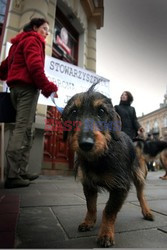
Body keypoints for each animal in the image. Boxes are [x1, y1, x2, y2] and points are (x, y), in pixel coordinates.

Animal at [61, 83, 154, 247]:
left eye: (101, 111)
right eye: (73, 111)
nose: (86, 144)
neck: (101, 157)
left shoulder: (120, 187)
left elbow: (109, 211)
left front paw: (105, 234)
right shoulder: (88, 185)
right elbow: (91, 206)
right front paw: (88, 222)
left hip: (138, 175)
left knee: (140, 194)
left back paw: (147, 211)